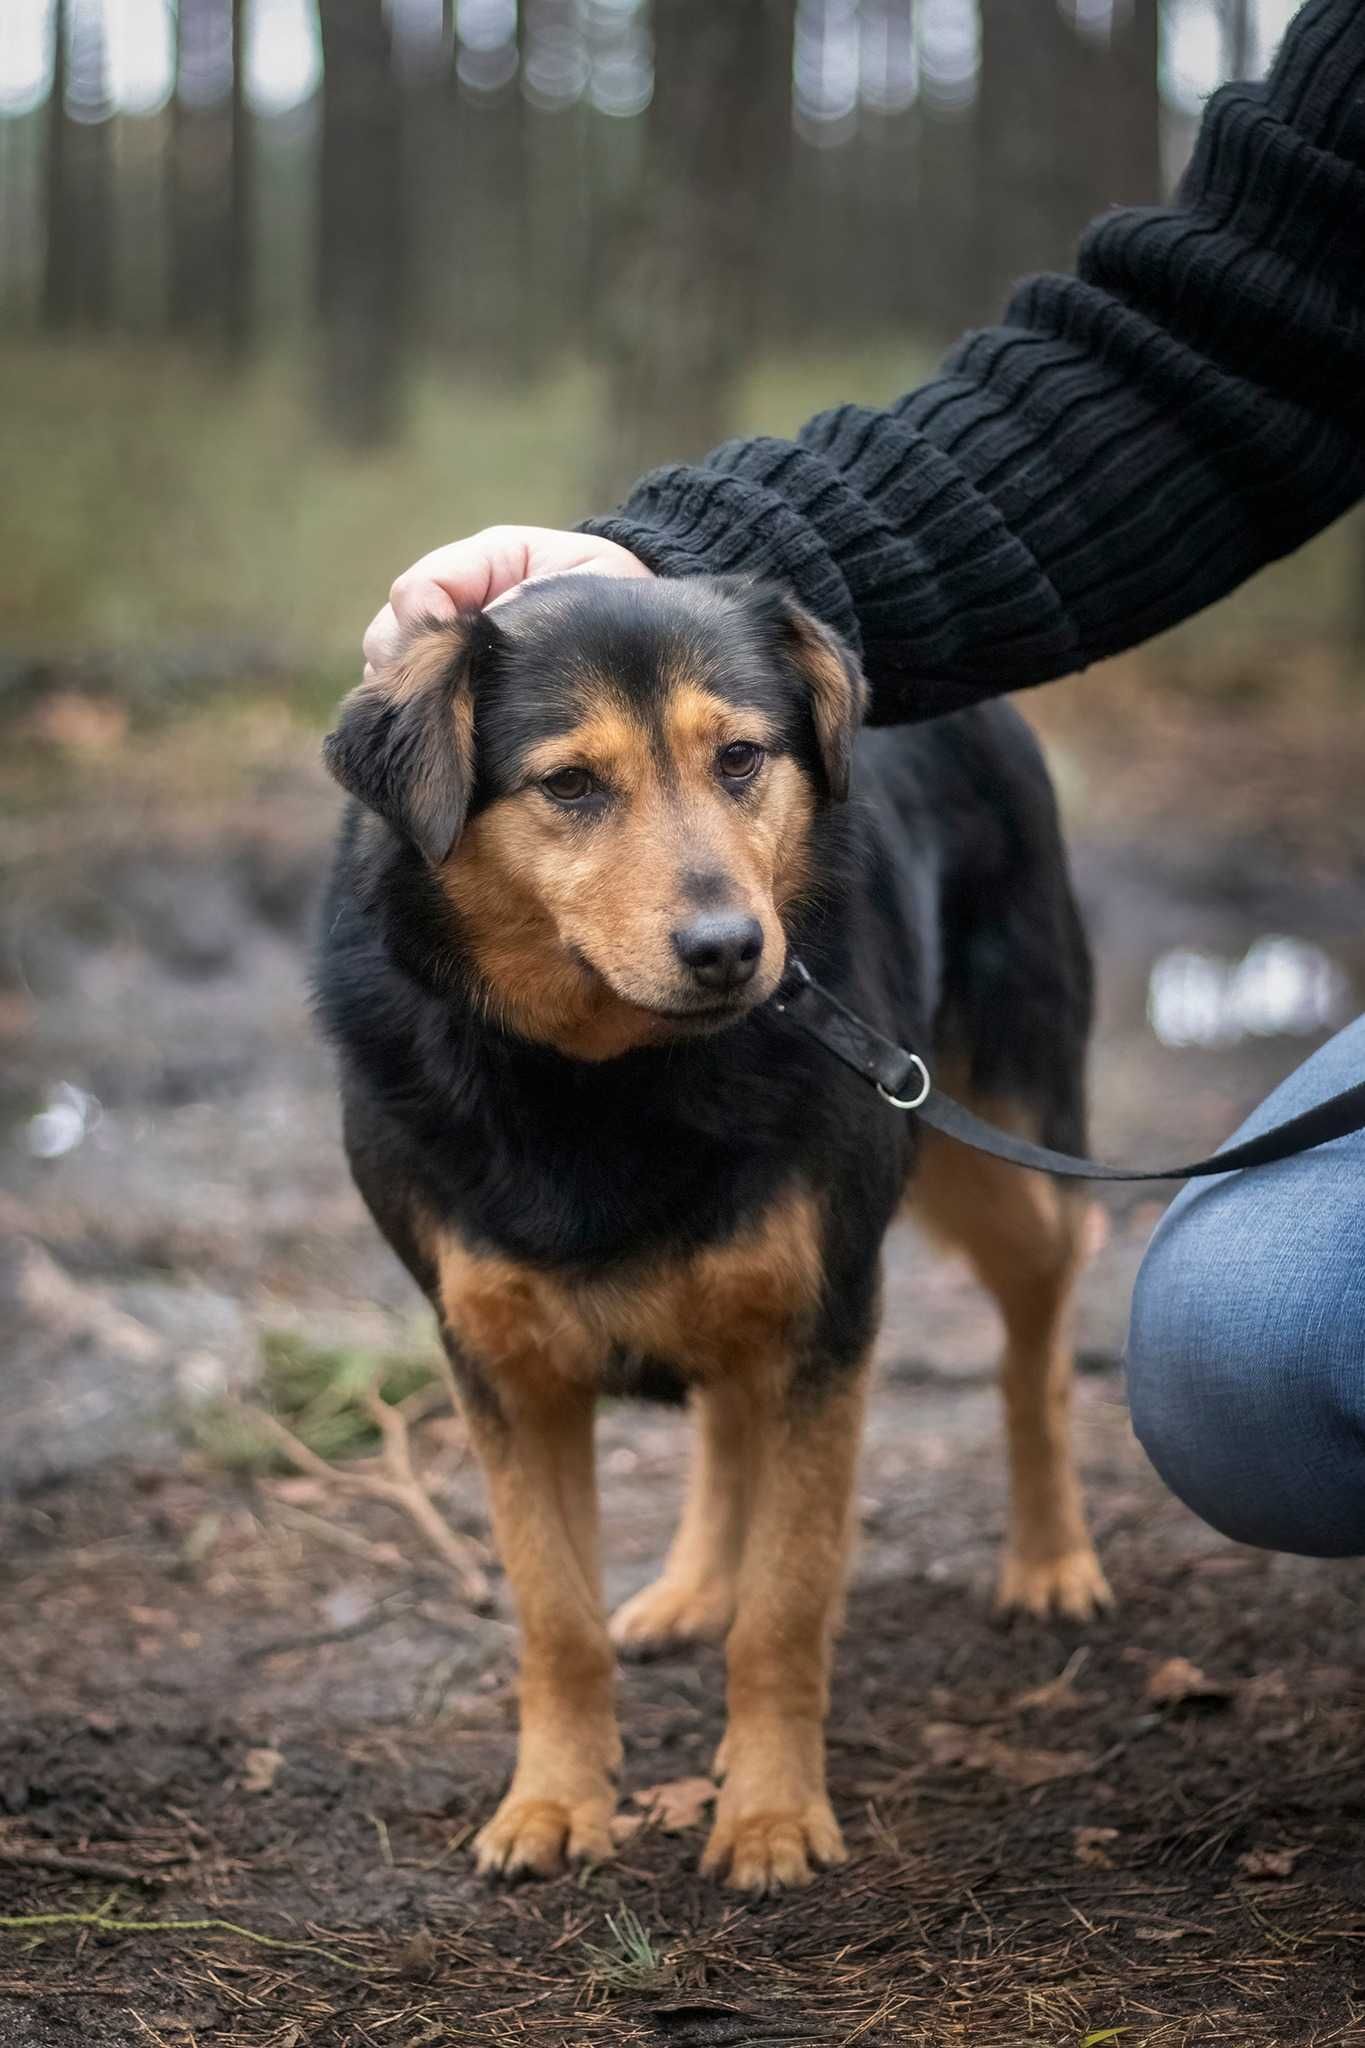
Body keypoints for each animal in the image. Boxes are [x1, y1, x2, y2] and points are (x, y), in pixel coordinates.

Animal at [317, 569, 1113, 1892]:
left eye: (741, 758)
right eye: (570, 785)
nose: (732, 948)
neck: (607, 1075)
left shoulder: (826, 1315)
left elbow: (785, 1607)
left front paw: (773, 1812)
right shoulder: (497, 1356)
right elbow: (555, 1610)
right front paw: (553, 1800)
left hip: (1002, 1150)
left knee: (1039, 1341)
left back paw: (1052, 1560)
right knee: (727, 1415)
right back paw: (694, 1587)